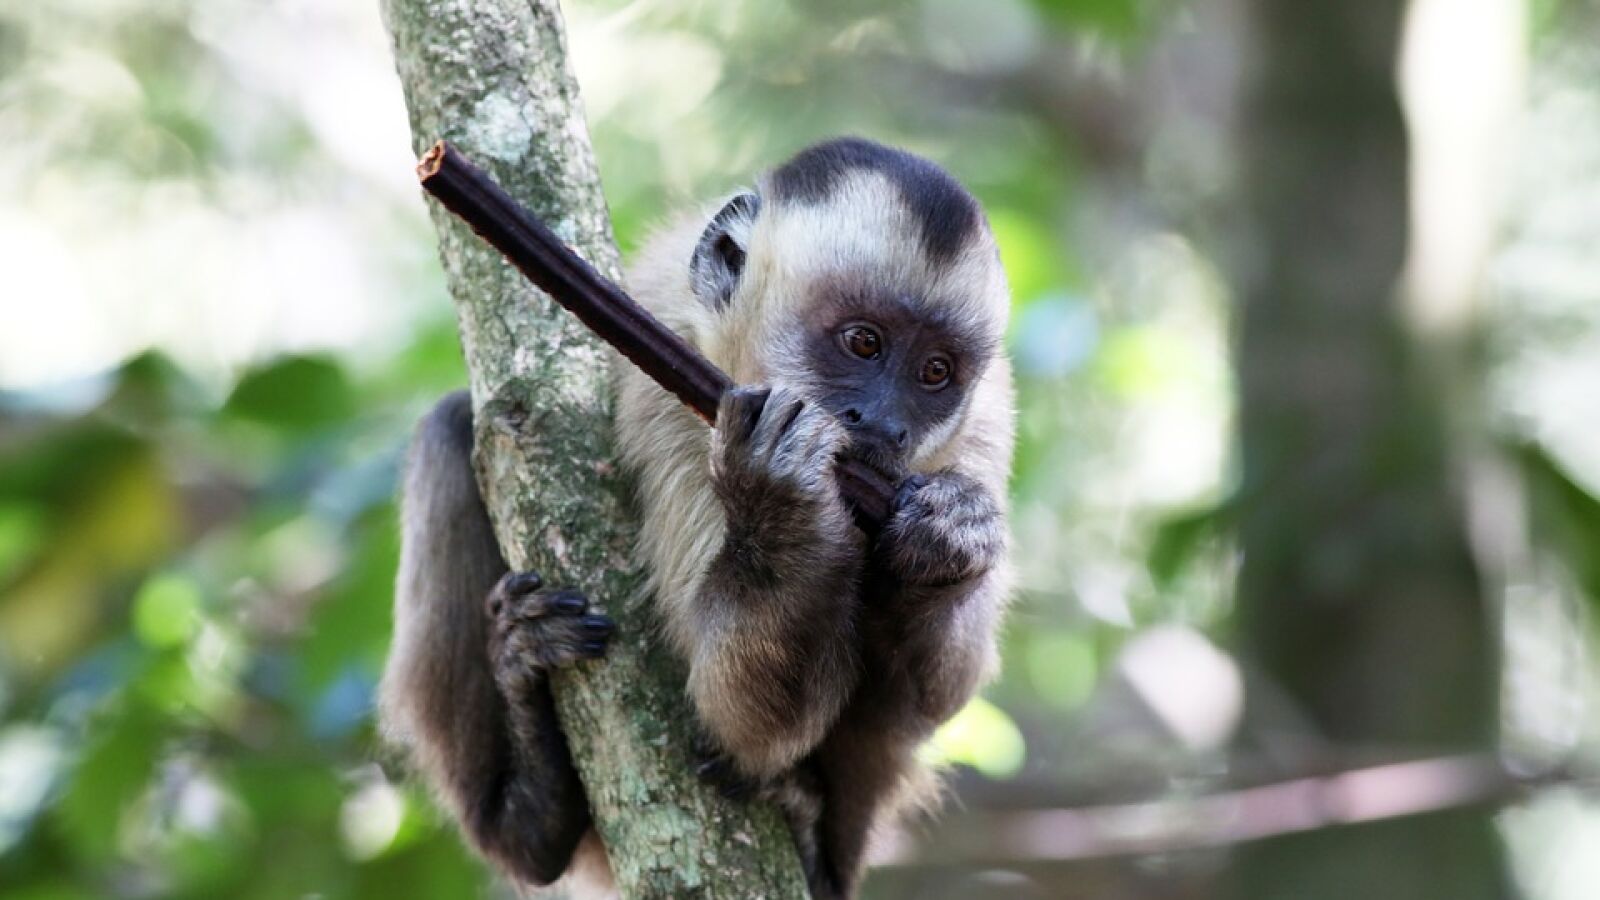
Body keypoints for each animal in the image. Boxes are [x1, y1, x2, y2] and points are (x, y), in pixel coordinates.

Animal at [379, 136, 1015, 899]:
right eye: (864, 344)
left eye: (935, 373)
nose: (888, 426)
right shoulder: (679, 409)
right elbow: (733, 715)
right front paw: (783, 503)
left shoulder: (983, 430)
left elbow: (936, 695)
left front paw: (946, 540)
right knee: (450, 430)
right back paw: (528, 809)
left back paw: (817, 851)